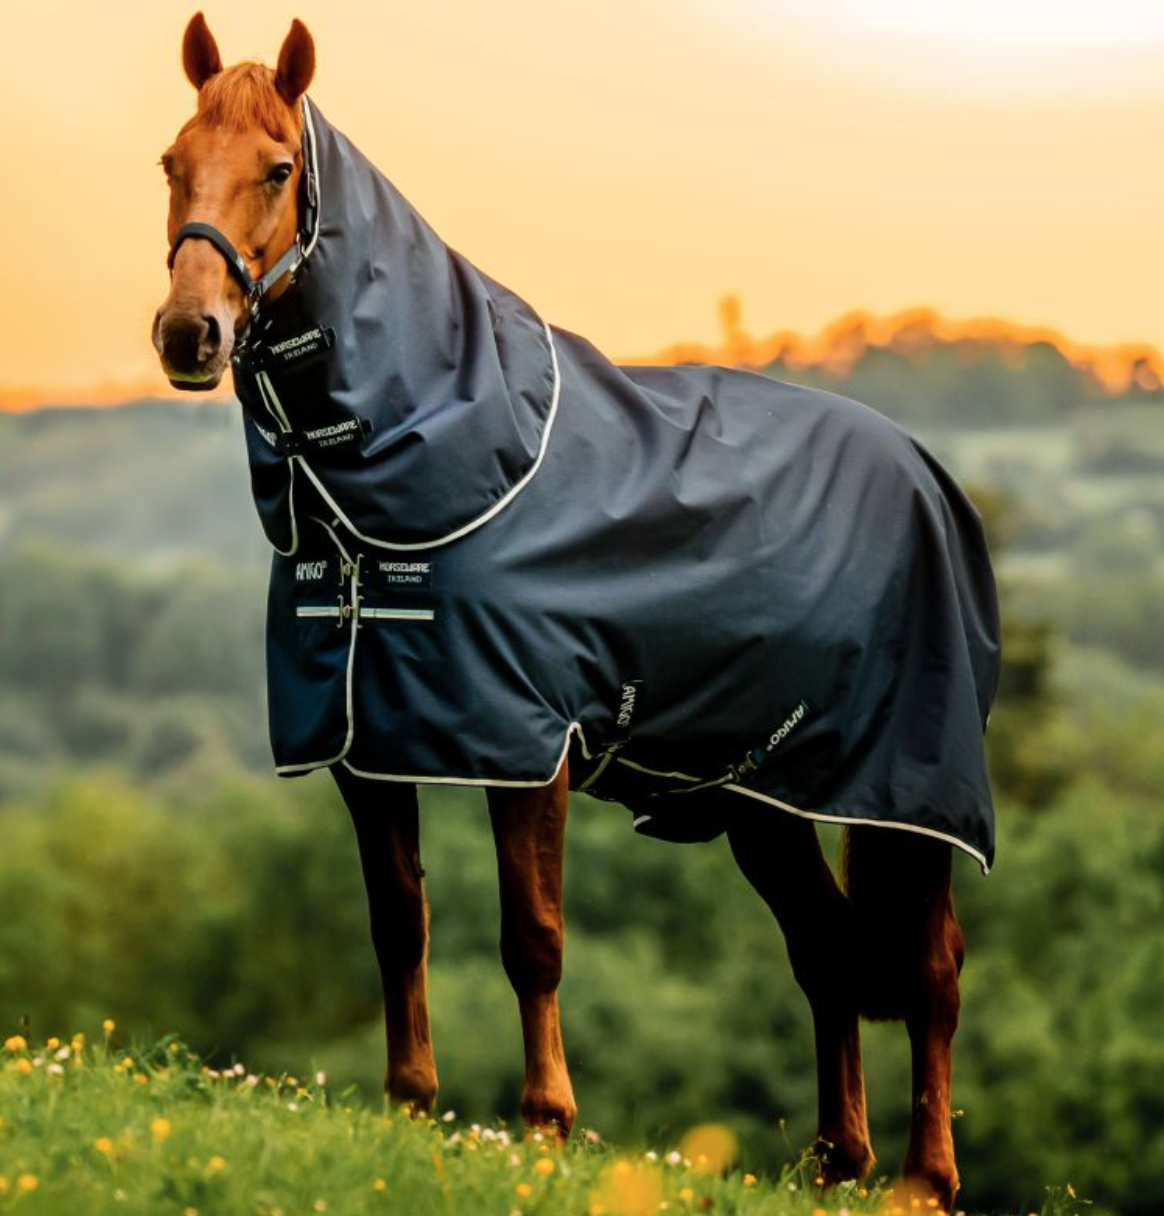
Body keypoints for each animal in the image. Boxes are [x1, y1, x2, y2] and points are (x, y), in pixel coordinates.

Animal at [153, 15, 1000, 1209]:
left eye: (277, 169)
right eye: (171, 164)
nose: (190, 335)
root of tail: (927, 473)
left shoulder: (525, 743)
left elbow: (533, 936)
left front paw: (546, 1125)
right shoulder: (365, 745)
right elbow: (398, 922)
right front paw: (408, 1106)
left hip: (908, 792)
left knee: (930, 967)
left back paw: (922, 1178)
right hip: (766, 798)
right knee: (828, 950)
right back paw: (838, 1161)